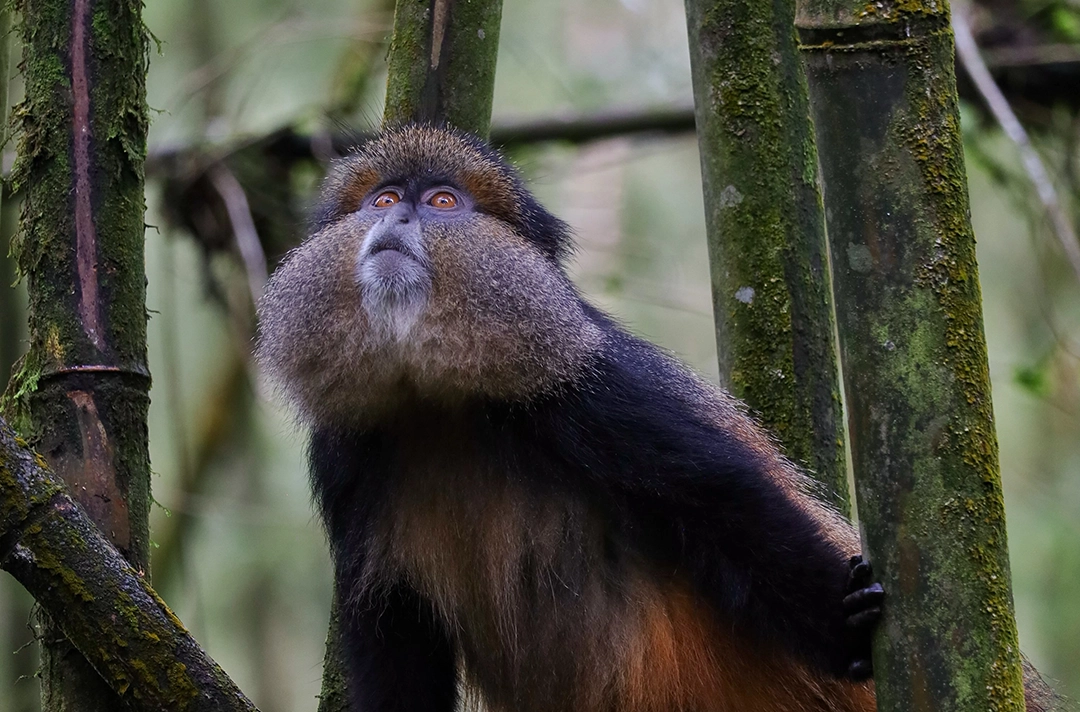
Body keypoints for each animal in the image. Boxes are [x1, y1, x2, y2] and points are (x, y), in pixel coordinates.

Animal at [254, 124, 1043, 712]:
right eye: (382, 196)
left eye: (444, 201)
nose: (396, 216)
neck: (437, 402)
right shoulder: (347, 453)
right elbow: (389, 626)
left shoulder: (587, 390)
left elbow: (720, 492)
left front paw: (840, 624)